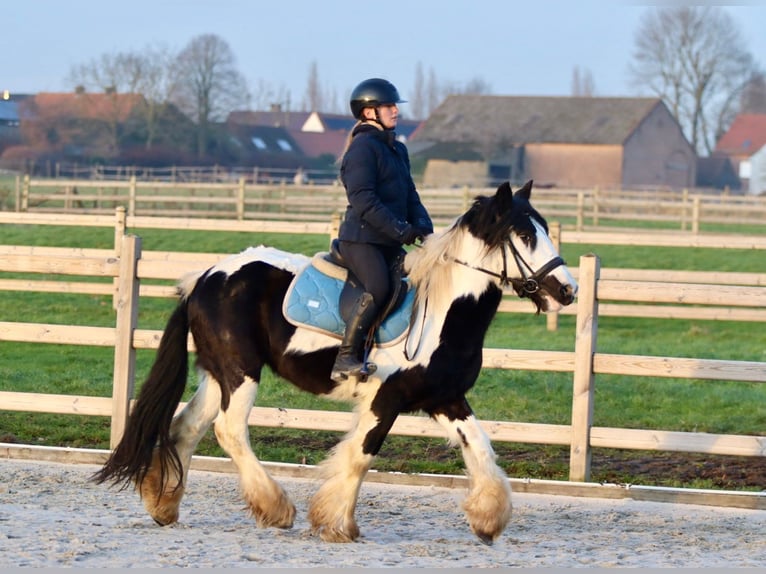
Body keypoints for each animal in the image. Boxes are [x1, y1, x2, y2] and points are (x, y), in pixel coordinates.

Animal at [93, 182, 580, 548]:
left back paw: (163, 504)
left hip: (218, 375)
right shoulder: (388, 399)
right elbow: (361, 456)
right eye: (526, 236)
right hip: (239, 372)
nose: (568, 290)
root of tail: (205, 277)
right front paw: (336, 523)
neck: (442, 311)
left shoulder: (445, 397)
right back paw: (275, 508)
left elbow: (479, 447)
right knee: (228, 430)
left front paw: (488, 519)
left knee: (186, 427)